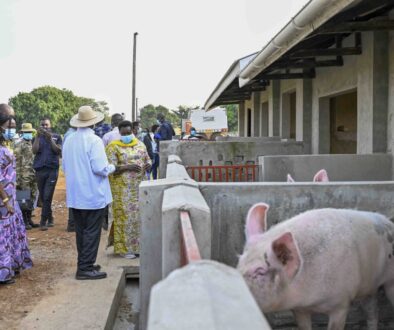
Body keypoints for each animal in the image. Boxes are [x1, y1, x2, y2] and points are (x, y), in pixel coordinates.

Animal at [237, 204, 394, 330]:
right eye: (239, 263)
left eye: (260, 271)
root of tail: (389, 222)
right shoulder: (299, 309)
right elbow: (303, 326)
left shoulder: (341, 304)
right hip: (369, 287)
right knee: (372, 310)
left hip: (389, 283)